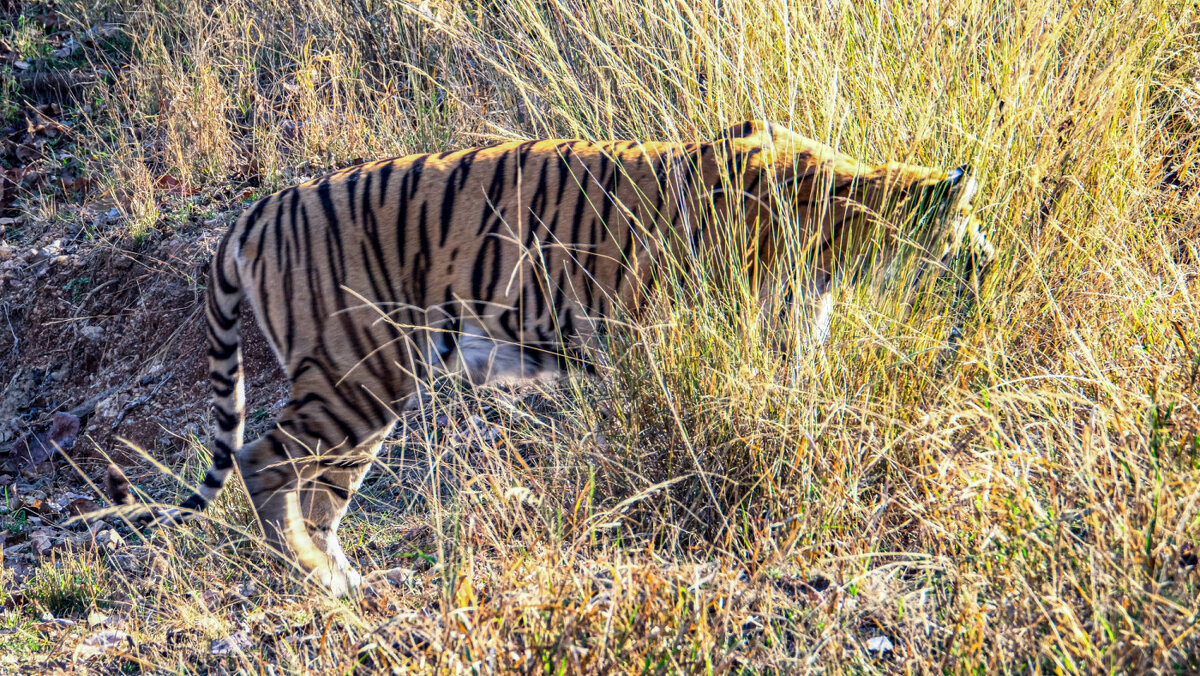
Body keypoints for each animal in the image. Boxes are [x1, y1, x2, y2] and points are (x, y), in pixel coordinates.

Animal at [117, 123, 993, 597]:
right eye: (969, 243)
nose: (992, 273)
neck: (840, 234)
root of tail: (258, 207)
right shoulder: (669, 337)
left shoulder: (784, 344)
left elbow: (797, 426)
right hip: (355, 369)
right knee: (268, 461)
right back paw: (316, 584)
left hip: (365, 387)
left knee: (321, 491)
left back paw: (345, 582)